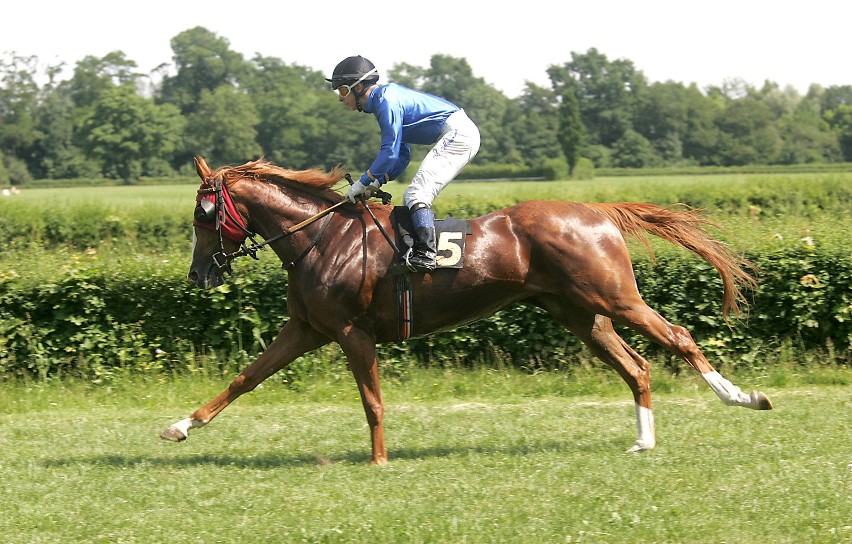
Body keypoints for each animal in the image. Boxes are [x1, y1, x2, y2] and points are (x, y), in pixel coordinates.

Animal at [160, 156, 772, 464]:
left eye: (202, 215)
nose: (197, 274)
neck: (322, 238)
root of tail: (596, 210)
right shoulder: (307, 328)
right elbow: (244, 378)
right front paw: (180, 426)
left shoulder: (353, 333)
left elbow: (372, 402)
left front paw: (379, 462)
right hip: (578, 313)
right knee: (636, 366)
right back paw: (644, 440)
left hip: (614, 297)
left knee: (679, 335)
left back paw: (743, 398)